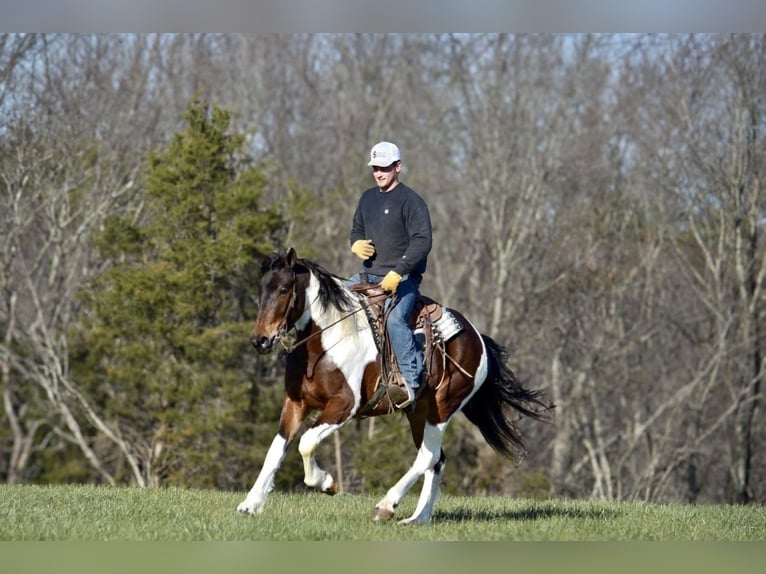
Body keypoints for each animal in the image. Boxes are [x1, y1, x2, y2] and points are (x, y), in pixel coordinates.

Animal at [236, 249, 552, 528]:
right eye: (261, 289)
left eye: (284, 289)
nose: (259, 340)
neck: (324, 341)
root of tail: (477, 338)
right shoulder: (296, 403)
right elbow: (277, 448)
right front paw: (251, 504)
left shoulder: (344, 406)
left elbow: (306, 442)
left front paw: (327, 483)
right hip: (418, 412)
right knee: (436, 460)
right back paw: (418, 518)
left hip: (442, 408)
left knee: (427, 456)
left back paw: (386, 506)